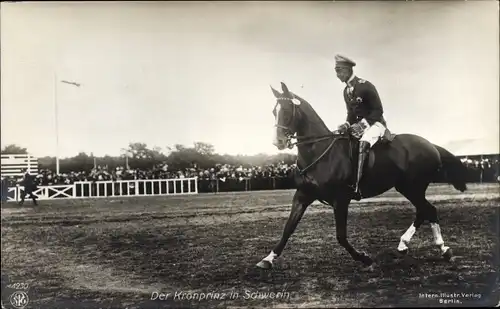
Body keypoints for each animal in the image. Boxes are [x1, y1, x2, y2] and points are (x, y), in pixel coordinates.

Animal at [256, 82, 470, 270]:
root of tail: (431, 145)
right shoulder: (302, 195)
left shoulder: (340, 200)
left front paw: (365, 259)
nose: (278, 142)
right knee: (423, 211)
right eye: (274, 112)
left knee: (429, 210)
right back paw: (404, 246)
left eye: (286, 110)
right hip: (407, 187)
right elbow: (288, 228)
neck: (320, 152)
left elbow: (341, 236)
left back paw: (443, 249)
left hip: (413, 187)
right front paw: (268, 259)